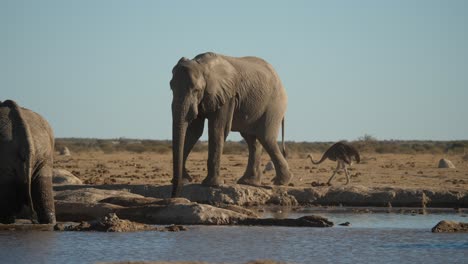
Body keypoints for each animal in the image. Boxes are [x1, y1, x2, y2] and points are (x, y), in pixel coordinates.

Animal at [168, 51, 292, 197]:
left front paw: (211, 184)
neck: (202, 66)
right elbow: (194, 132)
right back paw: (248, 182)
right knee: (252, 140)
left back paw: (280, 181)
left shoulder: (227, 96)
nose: (174, 194)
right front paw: (185, 180)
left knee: (266, 138)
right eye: (171, 87)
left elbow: (217, 129)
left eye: (196, 90)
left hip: (274, 105)